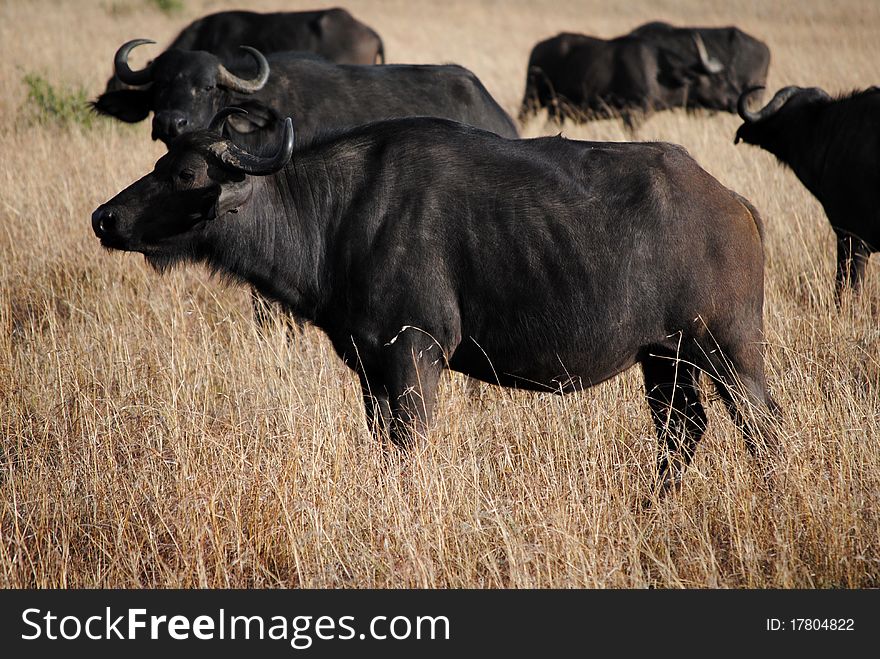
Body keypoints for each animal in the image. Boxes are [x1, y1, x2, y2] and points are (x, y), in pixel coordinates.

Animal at [89, 109, 776, 500]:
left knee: (762, 428)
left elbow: (408, 445)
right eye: (161, 161)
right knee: (682, 429)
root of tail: (732, 203)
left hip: (729, 351)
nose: (105, 218)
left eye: (185, 175)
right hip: (663, 359)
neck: (335, 215)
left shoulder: (415, 355)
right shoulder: (370, 366)